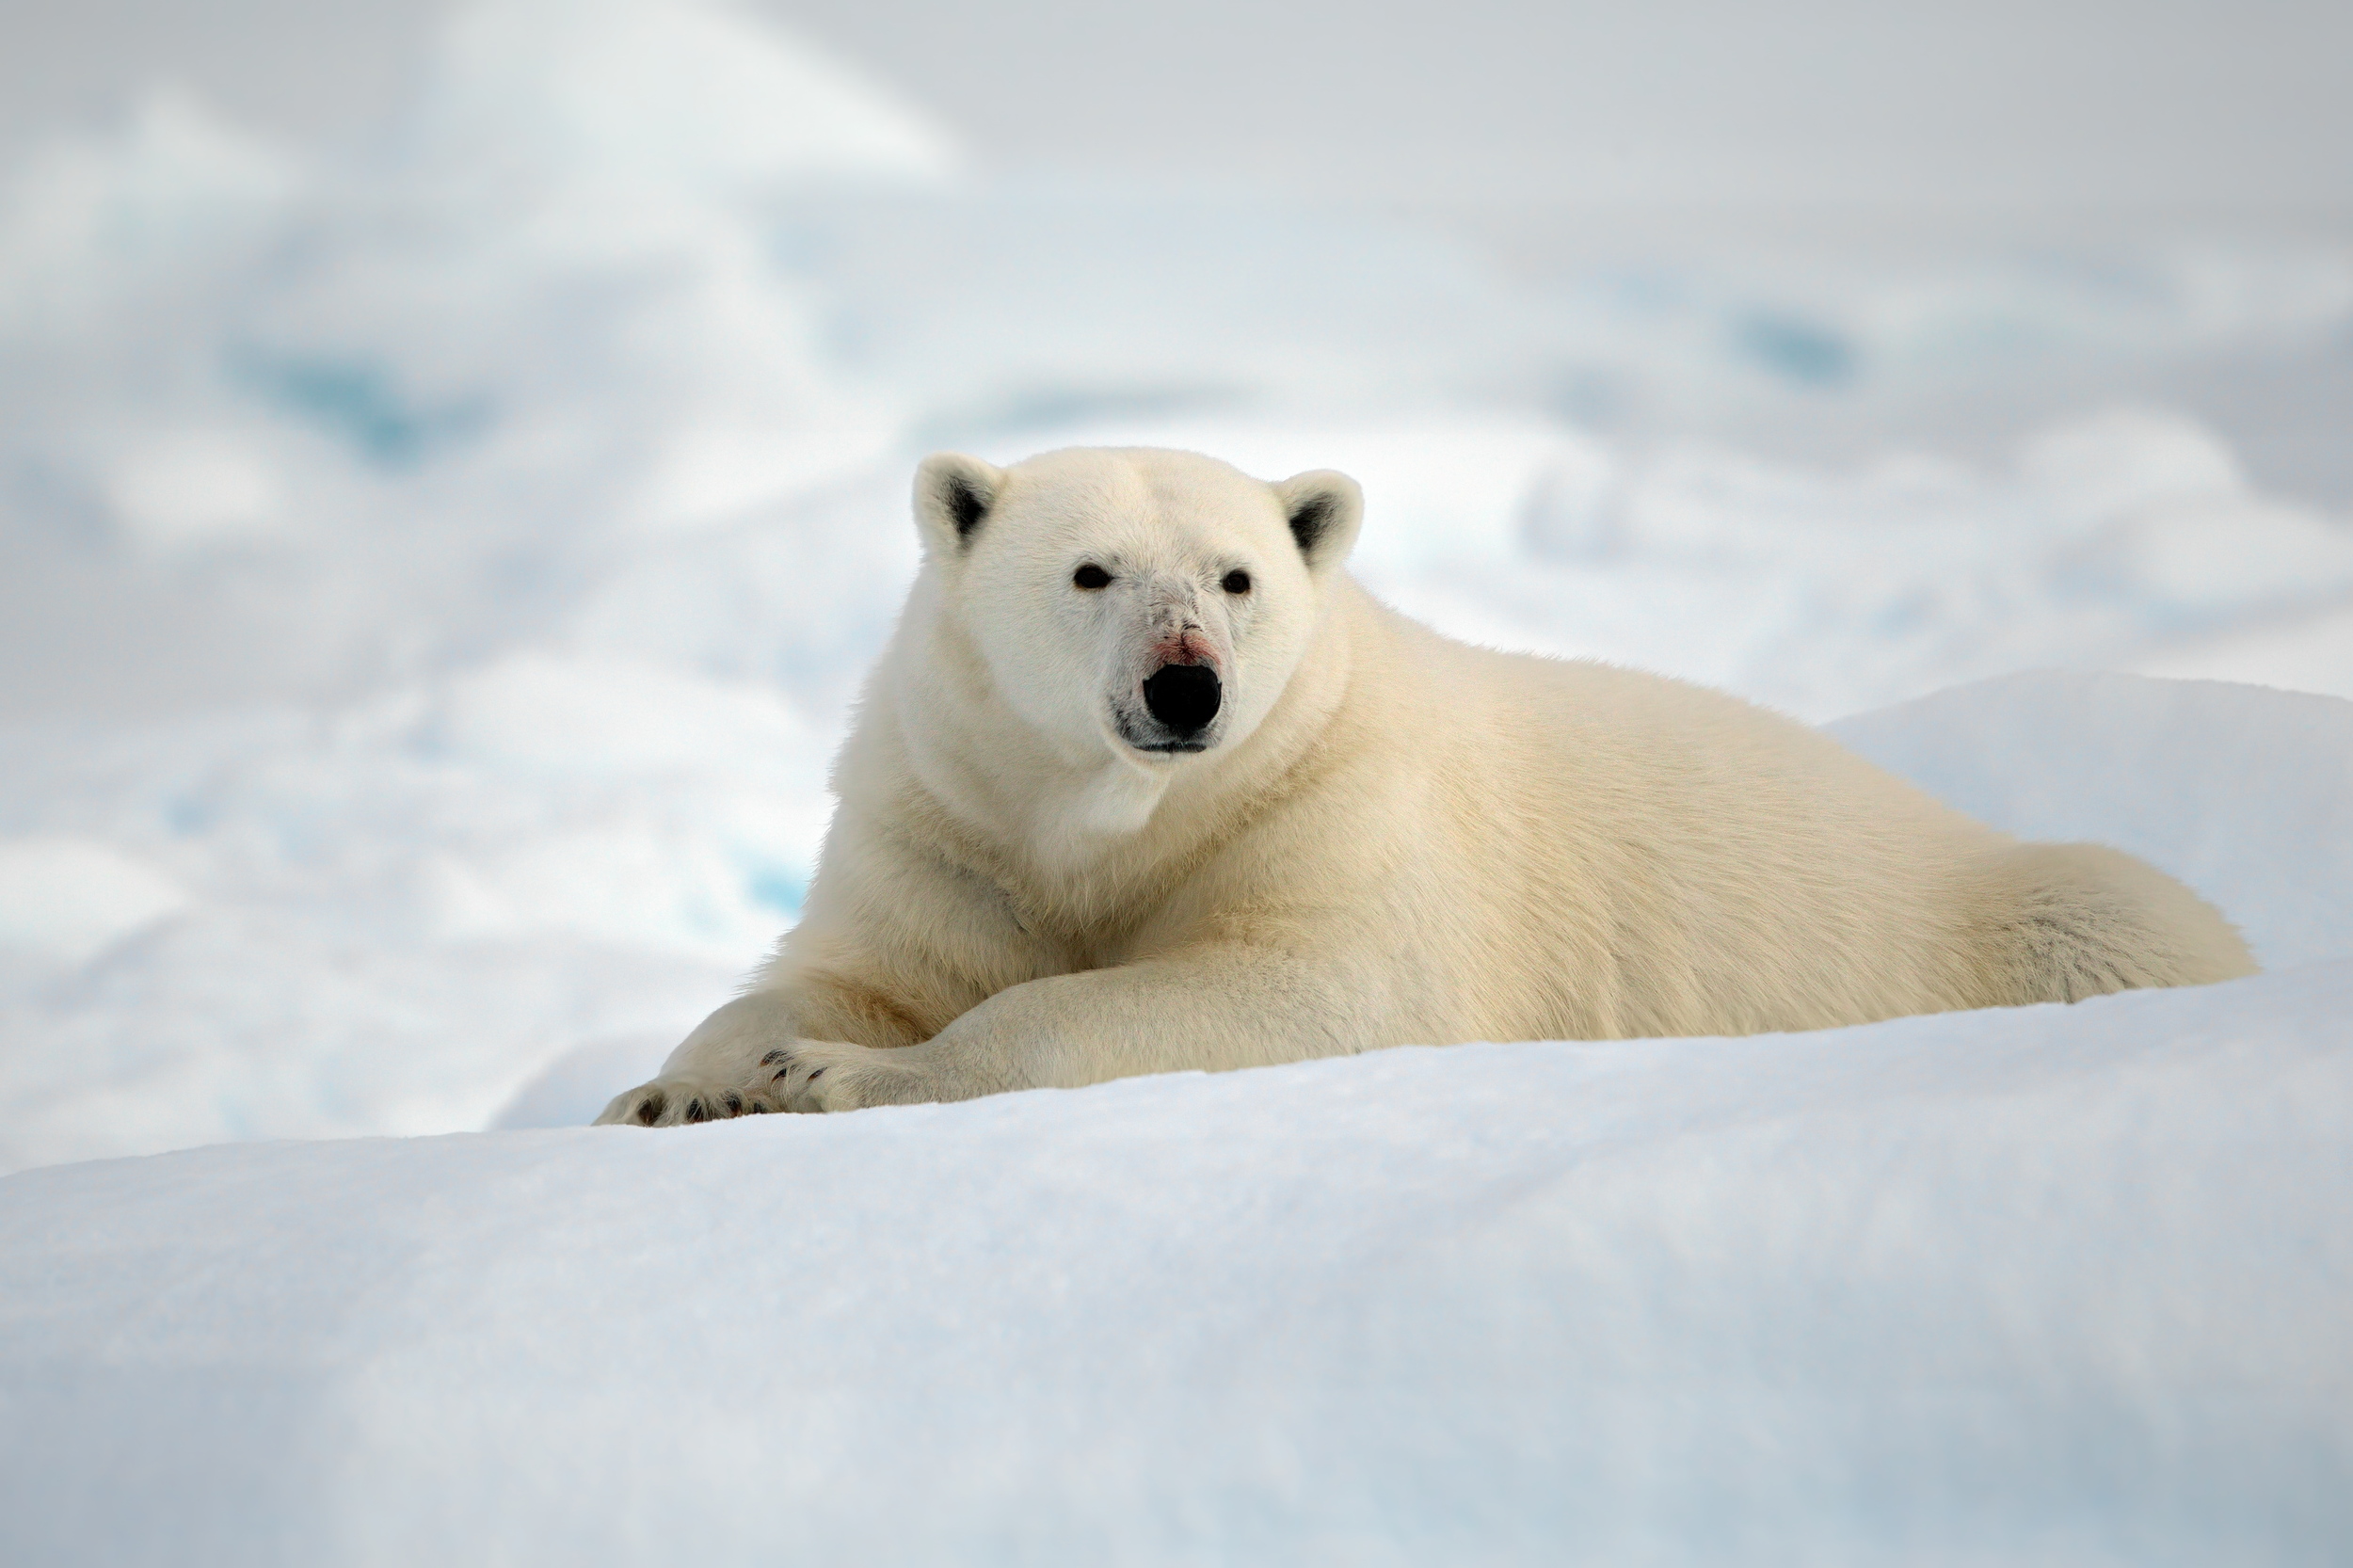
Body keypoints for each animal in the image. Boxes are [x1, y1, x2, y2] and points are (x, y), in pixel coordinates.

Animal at [597, 446, 2256, 1125]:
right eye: (1091, 571)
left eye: (1237, 574)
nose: (1186, 686)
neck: (1120, 819)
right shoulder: (948, 817)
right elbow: (859, 967)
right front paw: (684, 1083)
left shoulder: (1328, 813)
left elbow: (1291, 994)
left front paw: (829, 1078)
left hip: (2042, 906)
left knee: (2104, 906)